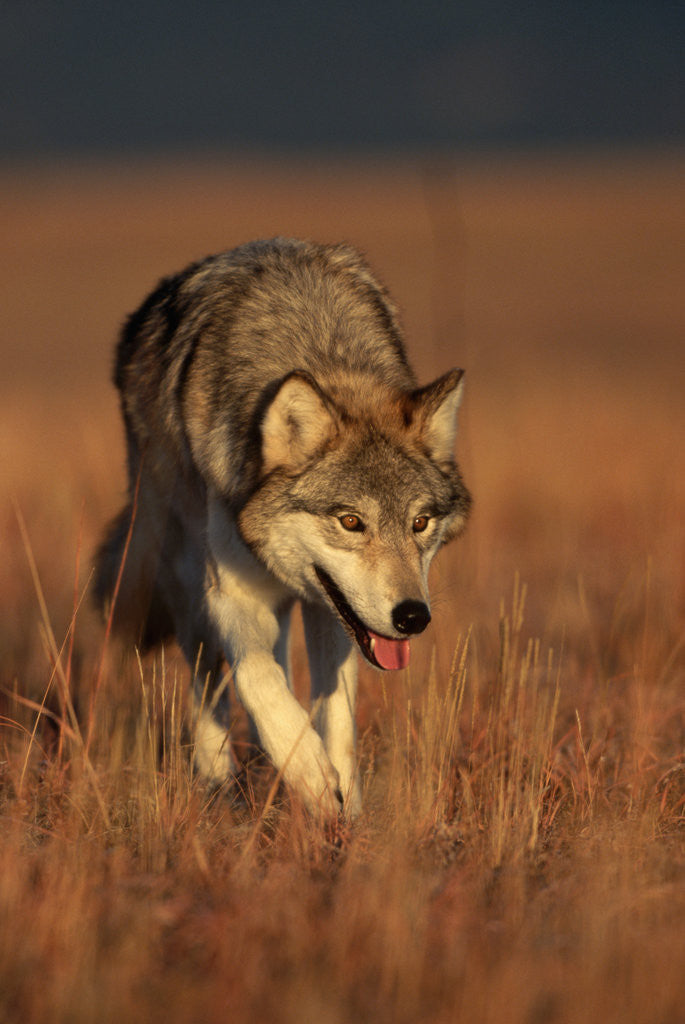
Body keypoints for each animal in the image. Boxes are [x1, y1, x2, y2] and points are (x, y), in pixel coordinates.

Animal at [95, 238, 471, 818]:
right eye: (351, 521)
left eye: (420, 522)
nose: (413, 617)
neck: (318, 349)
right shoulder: (229, 591)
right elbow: (257, 678)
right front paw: (311, 776)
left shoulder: (334, 610)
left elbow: (336, 711)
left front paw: (344, 808)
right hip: (182, 570)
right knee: (210, 675)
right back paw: (219, 782)